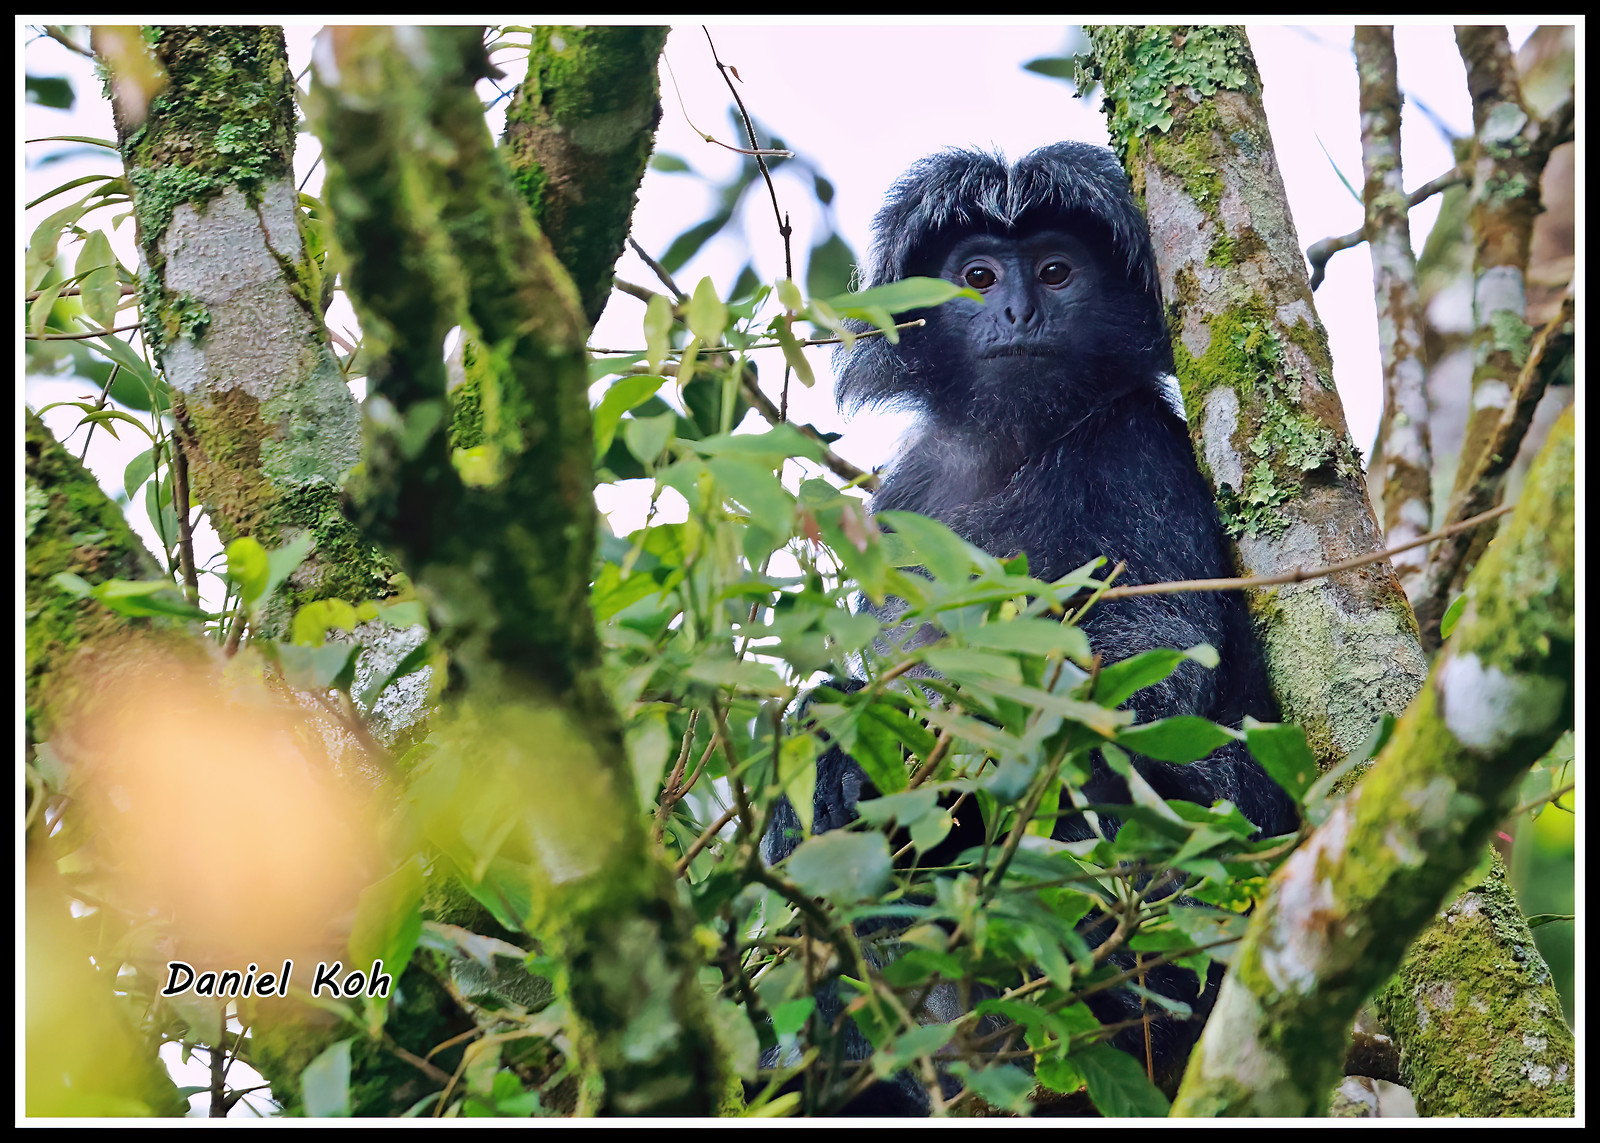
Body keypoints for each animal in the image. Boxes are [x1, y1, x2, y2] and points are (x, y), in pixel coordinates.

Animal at [761, 143, 1298, 1115]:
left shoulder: (1138, 452)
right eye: (978, 276)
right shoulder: (910, 499)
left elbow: (1150, 676)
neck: (1018, 442)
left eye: (1055, 272)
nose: (1017, 310)